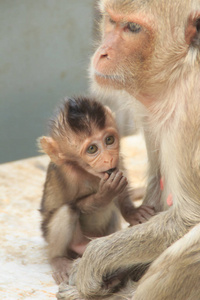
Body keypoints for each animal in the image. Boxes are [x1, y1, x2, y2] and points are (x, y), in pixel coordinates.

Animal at [39, 96, 155, 284]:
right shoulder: (68, 173)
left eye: (109, 140)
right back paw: (59, 258)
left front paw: (133, 213)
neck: (85, 171)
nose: (108, 158)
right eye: (92, 149)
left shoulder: (118, 161)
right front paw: (105, 194)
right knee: (67, 211)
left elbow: (121, 194)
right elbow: (76, 204)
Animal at [57, 0, 200, 300]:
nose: (103, 52)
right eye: (111, 20)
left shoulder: (191, 111)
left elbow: (189, 216)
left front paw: (91, 261)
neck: (183, 66)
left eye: (133, 27)